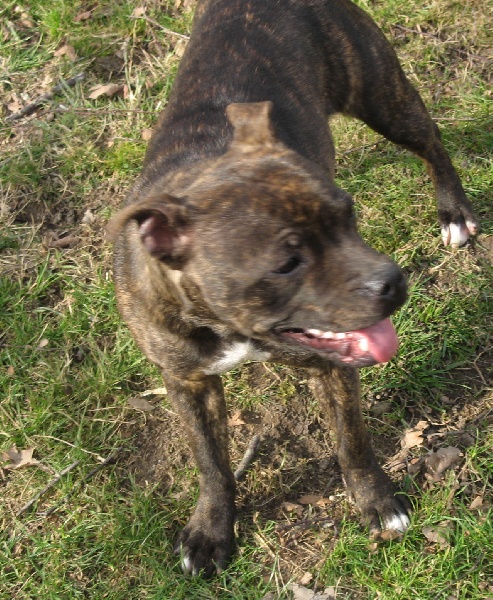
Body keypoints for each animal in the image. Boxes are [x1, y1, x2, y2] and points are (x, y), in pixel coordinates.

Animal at [107, 0, 476, 576]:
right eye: (286, 263)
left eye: (349, 216)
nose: (392, 281)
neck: (228, 324)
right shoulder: (186, 381)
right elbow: (211, 462)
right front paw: (211, 531)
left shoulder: (333, 367)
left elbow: (351, 441)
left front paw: (377, 504)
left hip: (381, 95)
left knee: (430, 140)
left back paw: (455, 212)